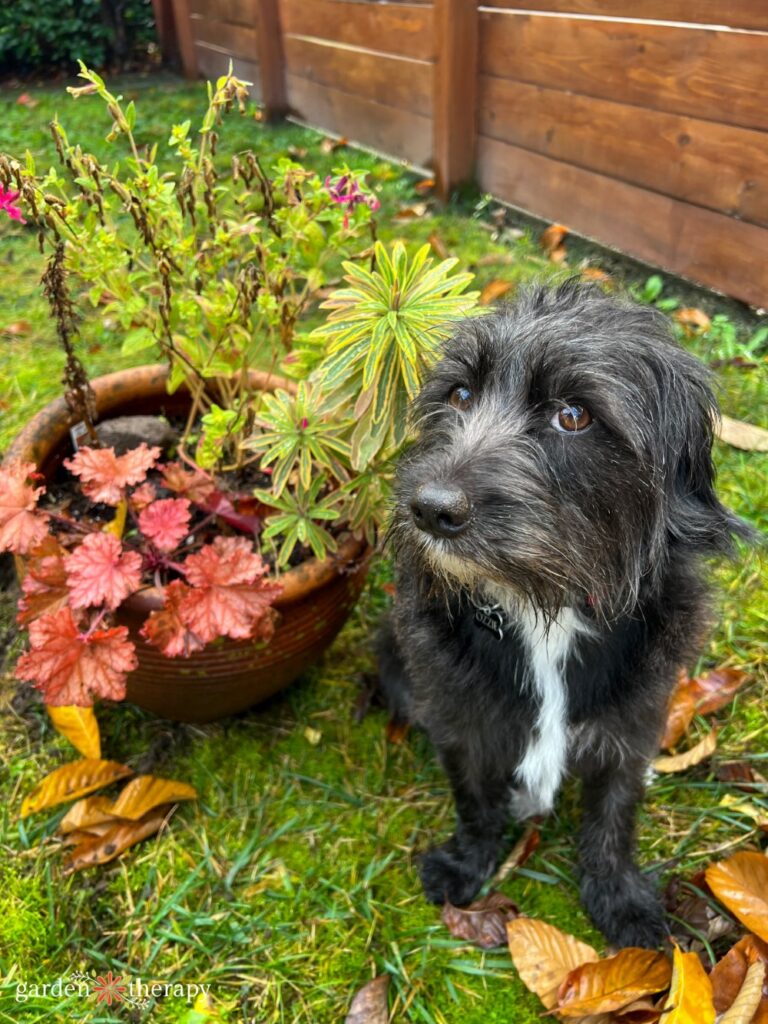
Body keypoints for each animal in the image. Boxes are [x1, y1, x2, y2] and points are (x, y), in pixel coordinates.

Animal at [378, 282, 753, 950]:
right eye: (460, 395)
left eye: (573, 416)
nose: (429, 509)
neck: (542, 604)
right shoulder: (459, 716)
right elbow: (473, 798)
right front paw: (467, 864)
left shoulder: (635, 724)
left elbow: (613, 813)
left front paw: (618, 898)